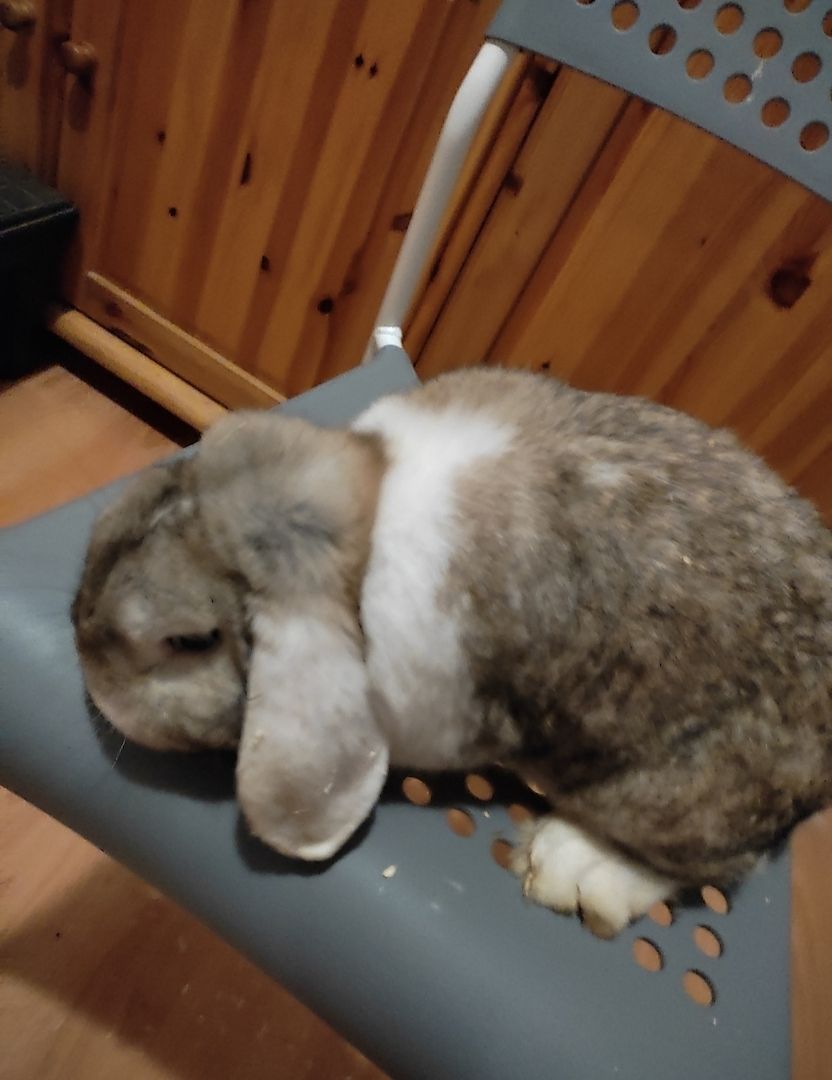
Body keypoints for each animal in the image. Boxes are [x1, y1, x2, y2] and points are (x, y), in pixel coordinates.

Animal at [72, 367, 832, 937]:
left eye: (188, 641)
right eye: (162, 484)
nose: (82, 639)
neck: (365, 522)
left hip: (669, 793)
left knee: (719, 862)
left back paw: (573, 868)